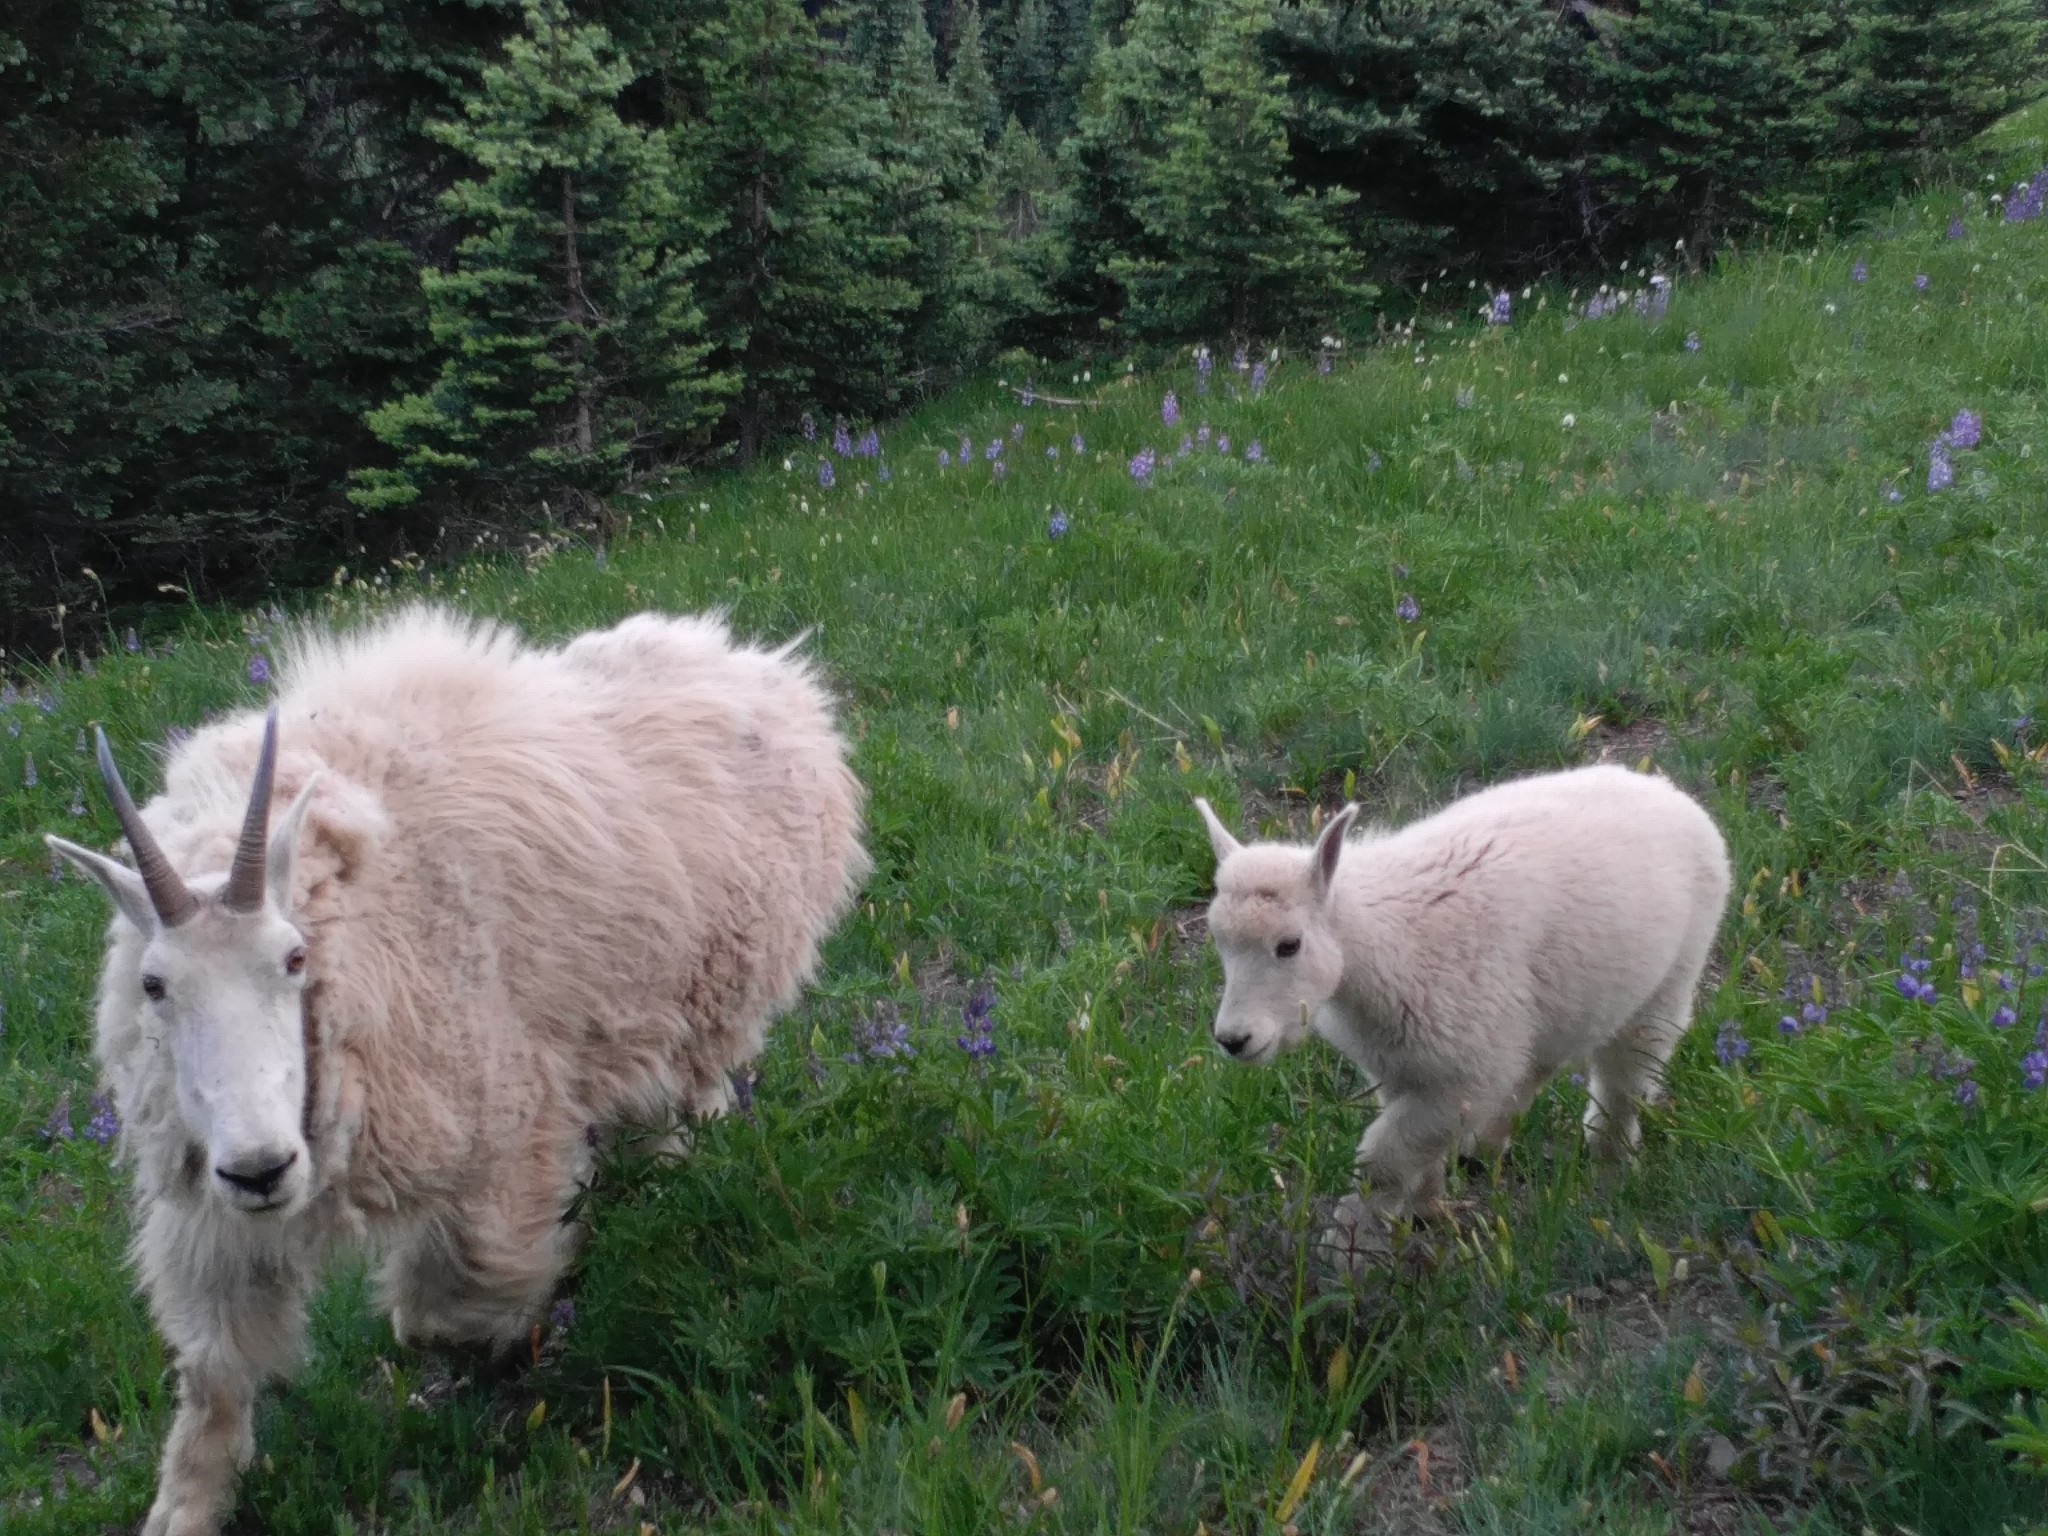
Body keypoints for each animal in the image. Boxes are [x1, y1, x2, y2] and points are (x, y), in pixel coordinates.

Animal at [48, 610, 864, 1536]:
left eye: (293, 959)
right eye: (155, 985)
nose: (262, 1169)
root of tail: (766, 667)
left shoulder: (503, 1134)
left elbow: (437, 1316)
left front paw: (521, 1327)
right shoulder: (210, 1207)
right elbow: (217, 1375)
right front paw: (182, 1512)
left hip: (711, 993)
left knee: (694, 1102)